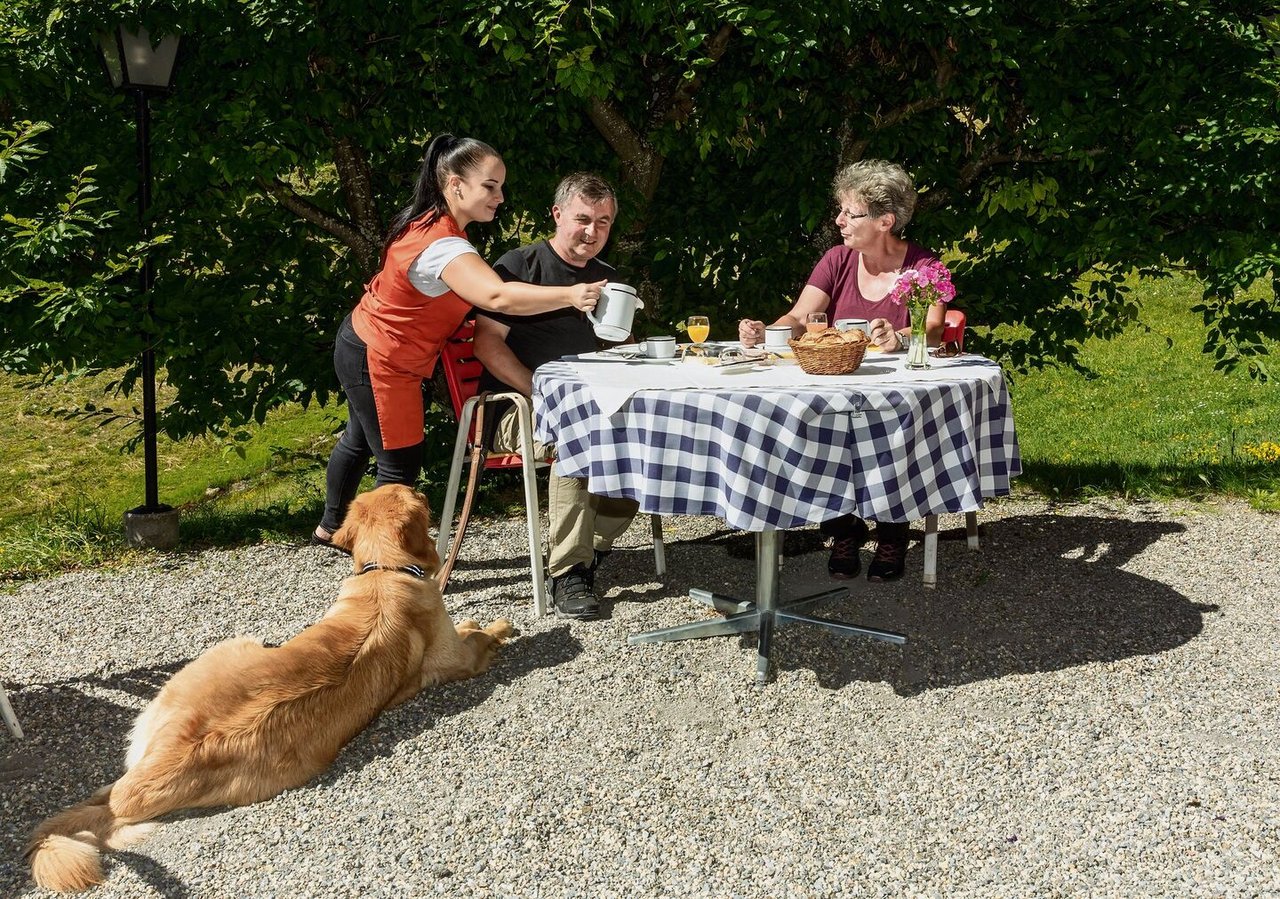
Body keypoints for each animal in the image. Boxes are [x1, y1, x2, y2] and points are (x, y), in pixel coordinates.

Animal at [30, 486, 509, 896]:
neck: (384, 572)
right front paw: (497, 627)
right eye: (420, 498)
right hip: (238, 643)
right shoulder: (455, 658)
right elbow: (476, 637)